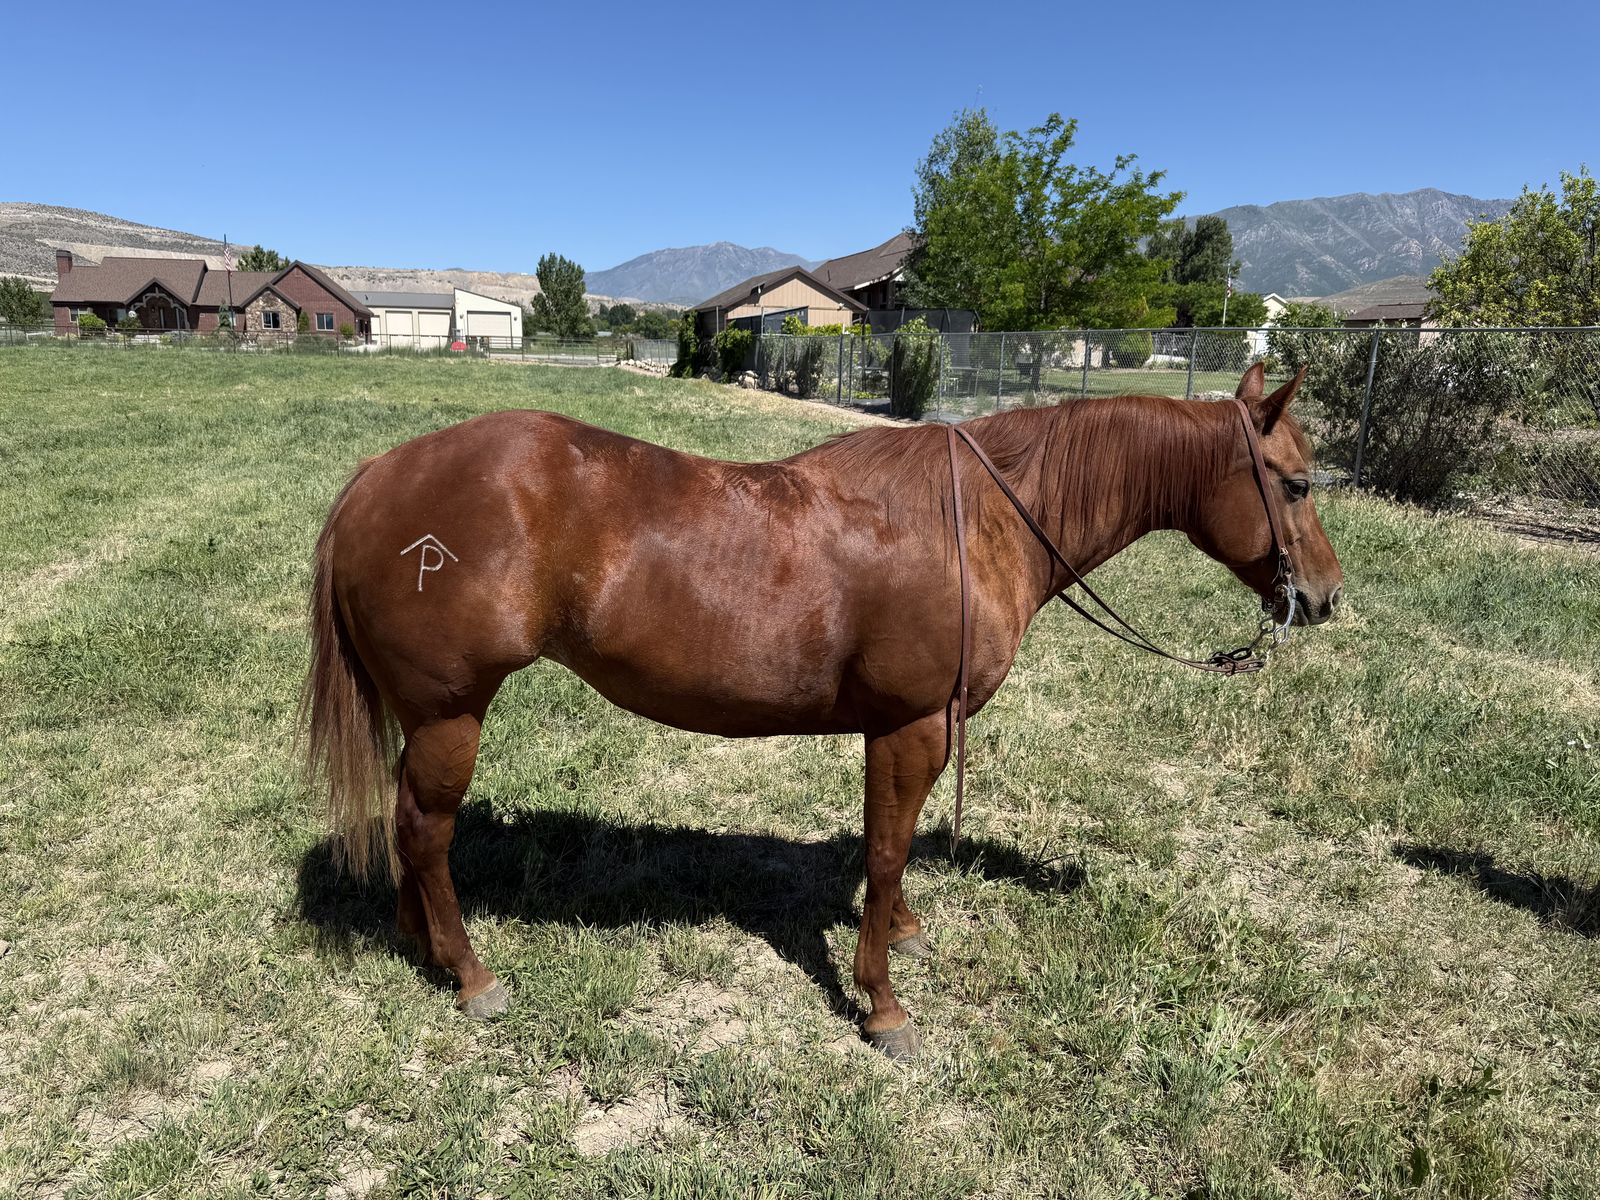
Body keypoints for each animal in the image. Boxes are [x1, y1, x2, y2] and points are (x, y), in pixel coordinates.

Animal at [301, 362, 1343, 1059]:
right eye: (1294, 483)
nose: (1326, 597)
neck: (980, 519)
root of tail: (378, 478)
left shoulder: (916, 730)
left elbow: (896, 852)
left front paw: (907, 931)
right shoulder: (908, 726)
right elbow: (883, 853)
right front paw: (884, 1006)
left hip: (427, 720)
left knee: (406, 823)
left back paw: (420, 946)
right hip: (452, 715)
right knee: (426, 832)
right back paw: (471, 975)